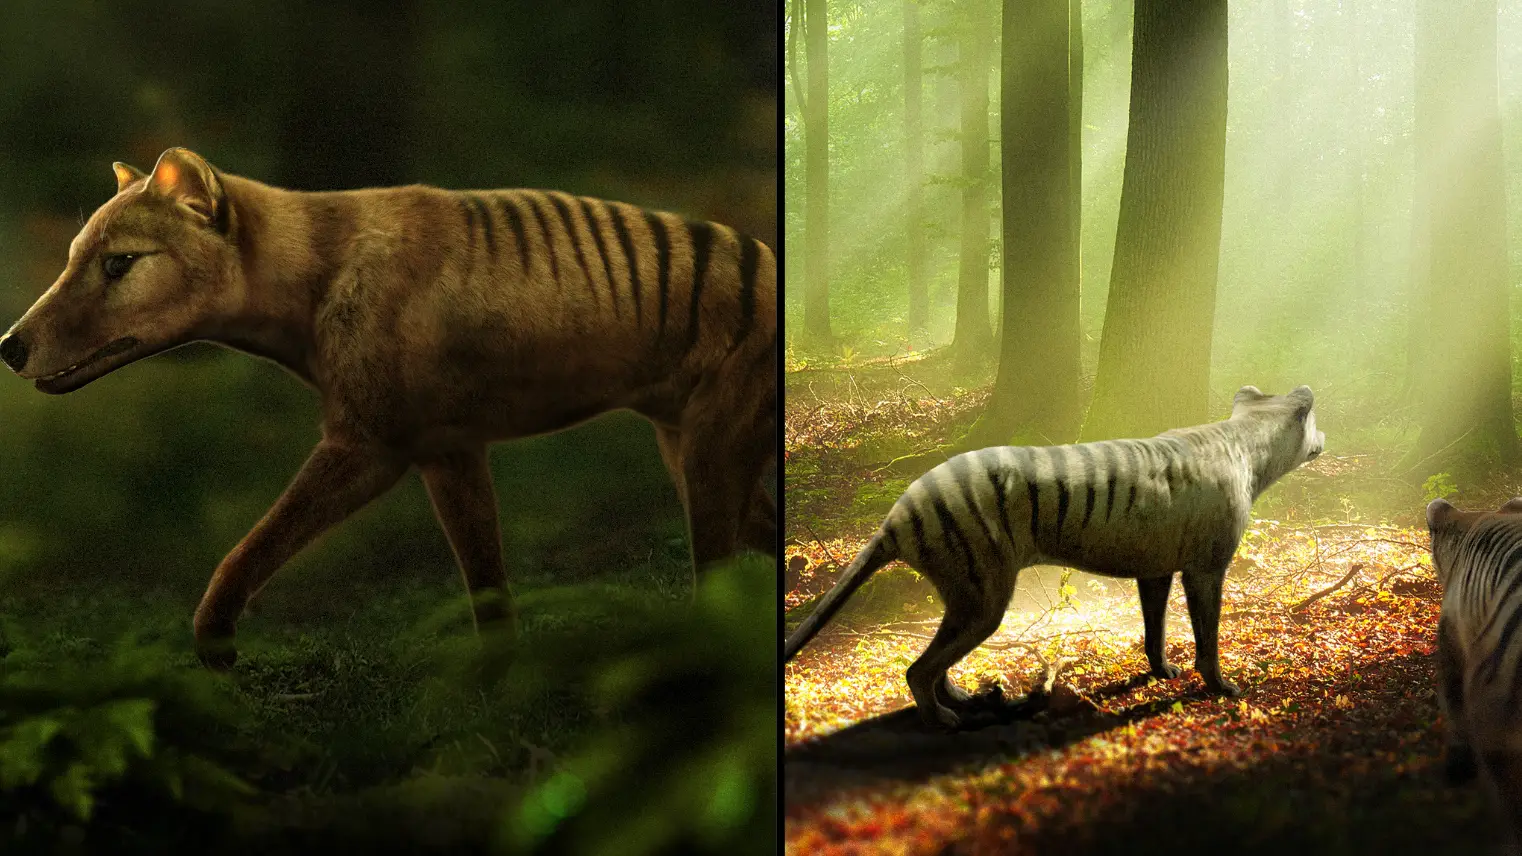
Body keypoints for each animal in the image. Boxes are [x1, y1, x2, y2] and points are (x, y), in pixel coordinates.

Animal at [784, 385, 1325, 731]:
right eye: (1313, 419)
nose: (1324, 438)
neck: (1242, 441)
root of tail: (896, 516)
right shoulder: (1206, 568)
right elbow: (1206, 636)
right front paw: (1219, 685)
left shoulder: (1154, 570)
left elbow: (1154, 630)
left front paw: (1161, 671)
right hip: (984, 599)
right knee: (917, 670)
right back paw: (941, 717)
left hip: (966, 597)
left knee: (935, 662)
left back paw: (956, 694)